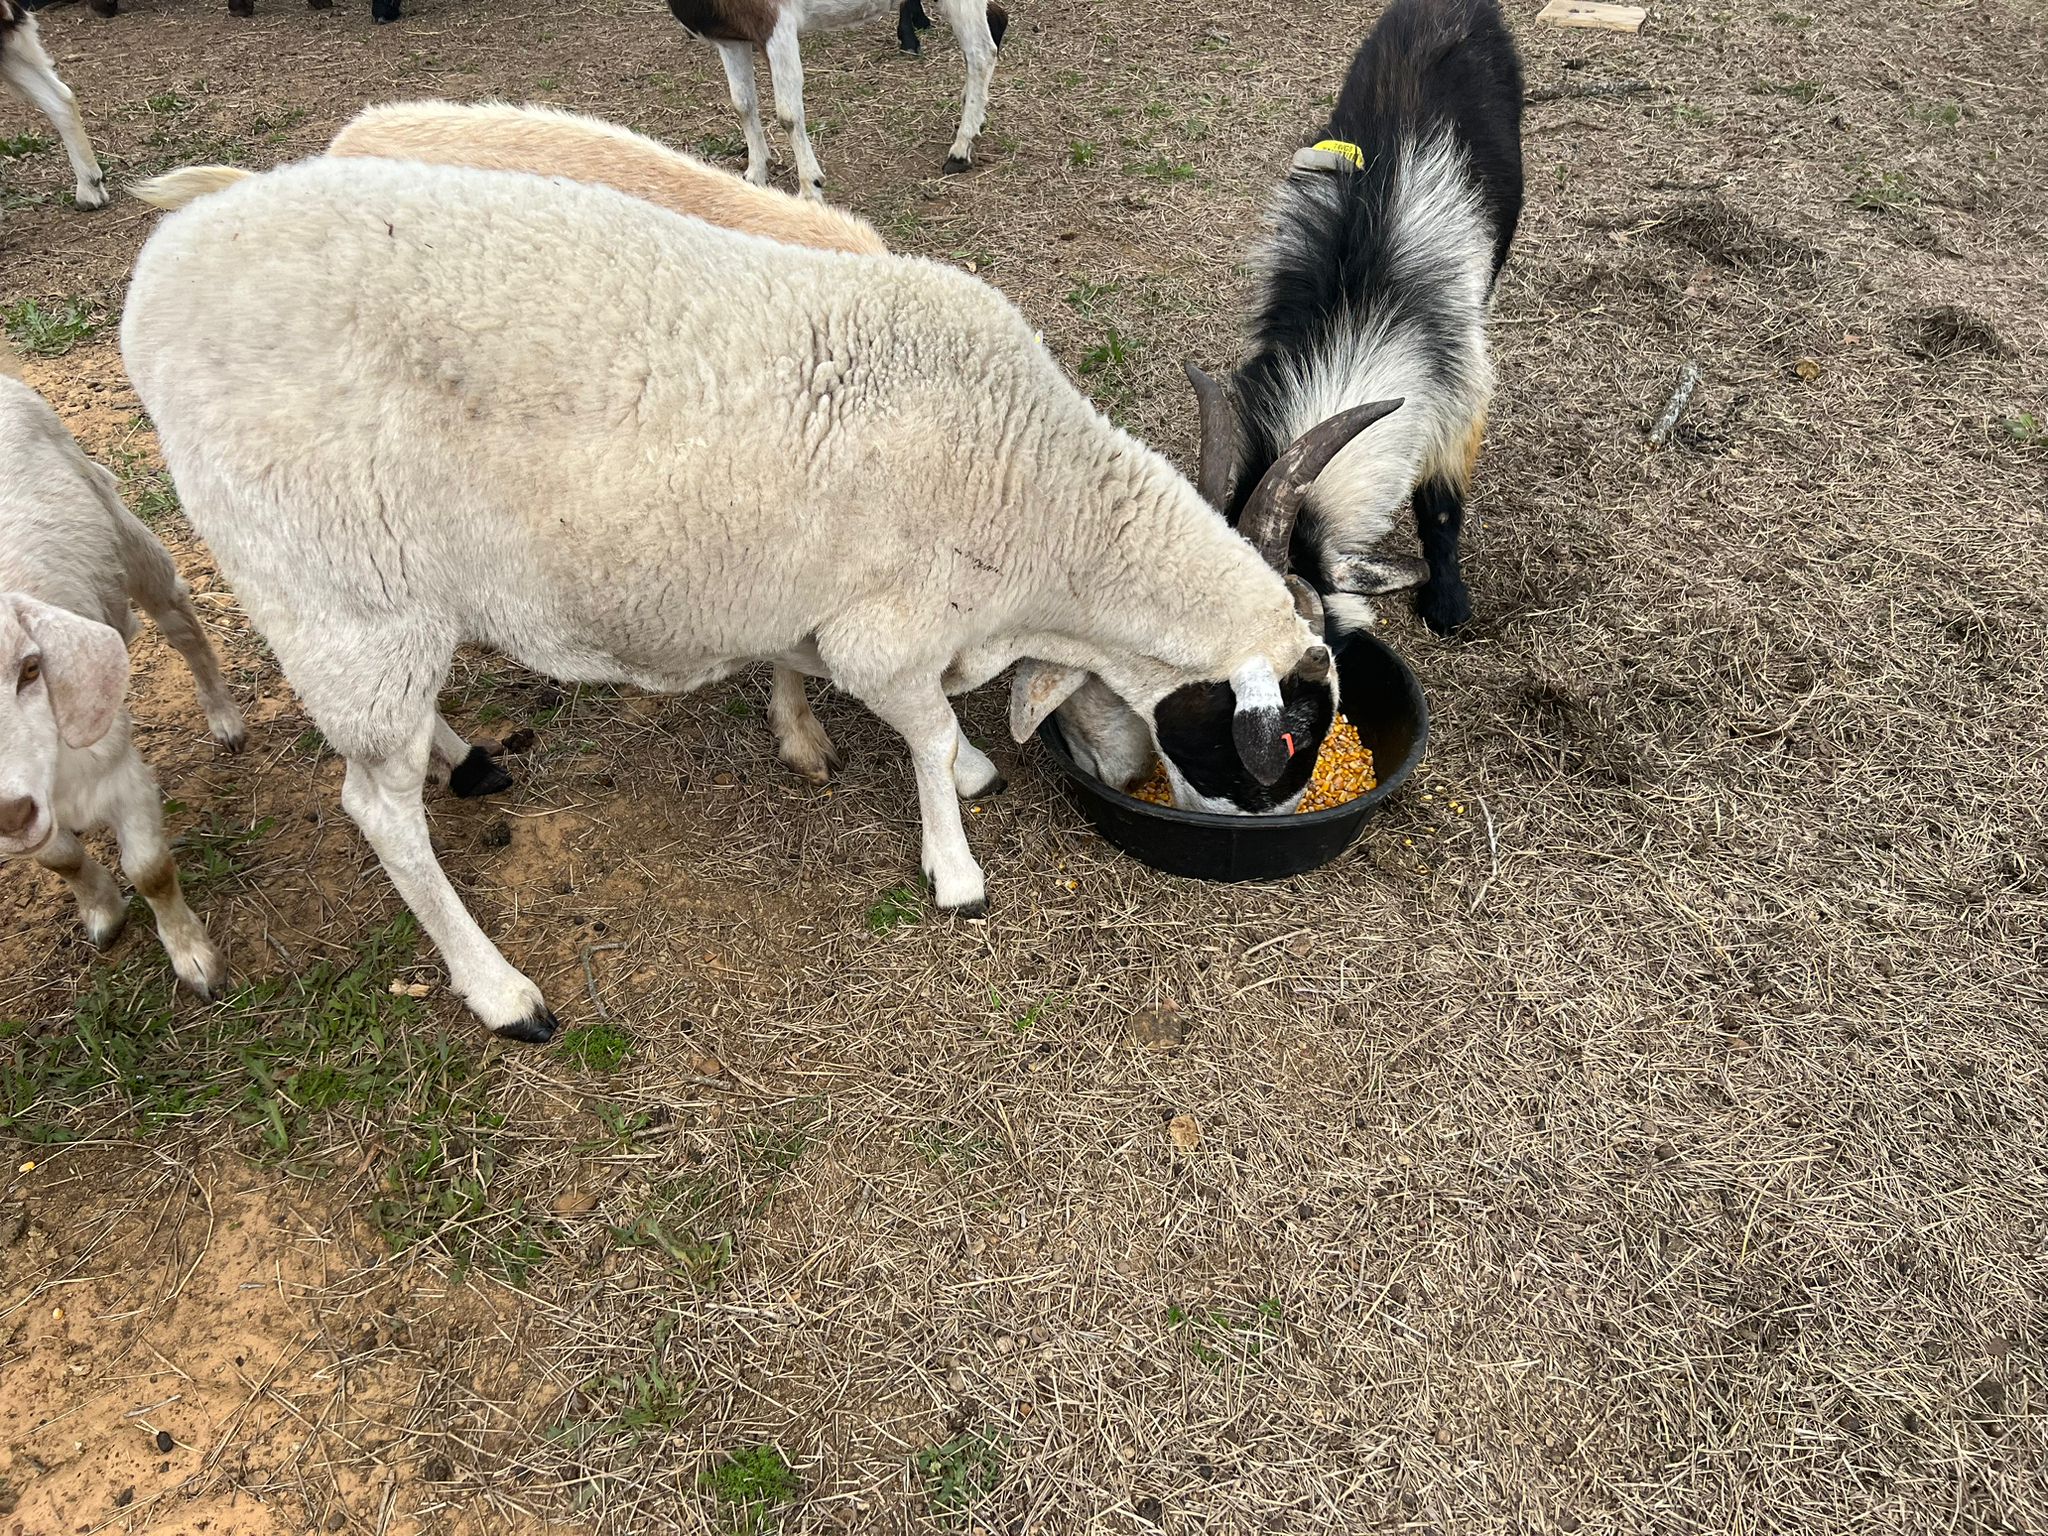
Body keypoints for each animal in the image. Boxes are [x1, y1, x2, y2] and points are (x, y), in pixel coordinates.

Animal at [0, 348, 245, 996]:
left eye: (30, 669)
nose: (10, 811)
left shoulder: (117, 771)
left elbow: (151, 868)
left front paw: (195, 960)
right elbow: (59, 858)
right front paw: (103, 912)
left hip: (127, 535)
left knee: (184, 624)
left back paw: (224, 717)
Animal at [667, 0, 1008, 198]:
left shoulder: (777, 26)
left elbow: (788, 115)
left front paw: (810, 189)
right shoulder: (730, 36)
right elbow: (742, 105)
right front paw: (754, 174)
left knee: (981, 52)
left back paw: (960, 150)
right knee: (995, 20)